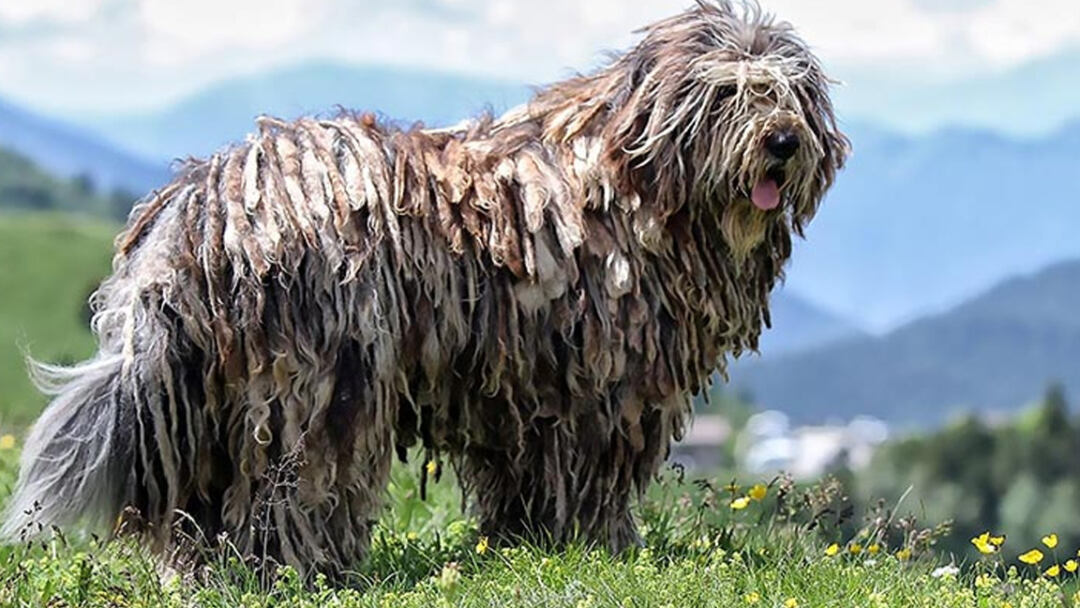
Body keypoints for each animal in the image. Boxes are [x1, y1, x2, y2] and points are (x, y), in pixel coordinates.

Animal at [2, 0, 842, 578]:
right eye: (728, 94)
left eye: (790, 96)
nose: (783, 141)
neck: (623, 187)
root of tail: (207, 203)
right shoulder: (598, 388)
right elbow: (587, 475)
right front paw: (596, 544)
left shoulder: (526, 394)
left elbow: (526, 481)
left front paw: (530, 542)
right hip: (318, 381)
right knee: (292, 486)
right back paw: (299, 567)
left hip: (224, 394)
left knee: (212, 497)